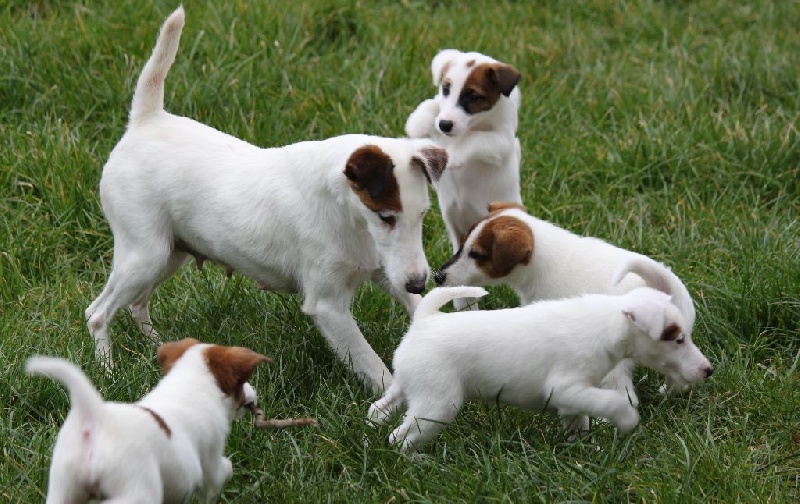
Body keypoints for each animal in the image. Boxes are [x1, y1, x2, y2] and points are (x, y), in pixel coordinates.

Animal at [26, 338, 270, 504]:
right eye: (242, 382)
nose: (254, 394)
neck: (190, 381)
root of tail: (96, 416)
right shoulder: (210, 461)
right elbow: (221, 472)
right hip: (138, 491)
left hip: (63, 488)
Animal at [87, 8, 450, 394]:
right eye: (385, 216)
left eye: (423, 215)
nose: (419, 281)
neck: (345, 211)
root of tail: (146, 121)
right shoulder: (329, 306)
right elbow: (374, 367)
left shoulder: (387, 270)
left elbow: (419, 306)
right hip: (145, 253)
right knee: (98, 314)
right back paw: (108, 372)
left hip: (171, 252)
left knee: (137, 304)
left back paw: (161, 348)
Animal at [368, 288, 712, 452]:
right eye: (677, 338)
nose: (707, 370)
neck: (607, 323)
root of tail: (424, 320)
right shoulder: (565, 388)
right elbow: (613, 401)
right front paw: (628, 421)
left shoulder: (573, 399)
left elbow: (579, 424)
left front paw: (586, 450)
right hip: (437, 405)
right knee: (400, 437)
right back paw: (414, 460)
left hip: (408, 388)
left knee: (380, 409)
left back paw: (373, 427)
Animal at [406, 50, 524, 312]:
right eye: (446, 88)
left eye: (472, 96)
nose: (445, 124)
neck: (475, 123)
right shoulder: (439, 127)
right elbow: (433, 105)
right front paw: (417, 121)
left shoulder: (499, 142)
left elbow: (474, 140)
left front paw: (453, 154)